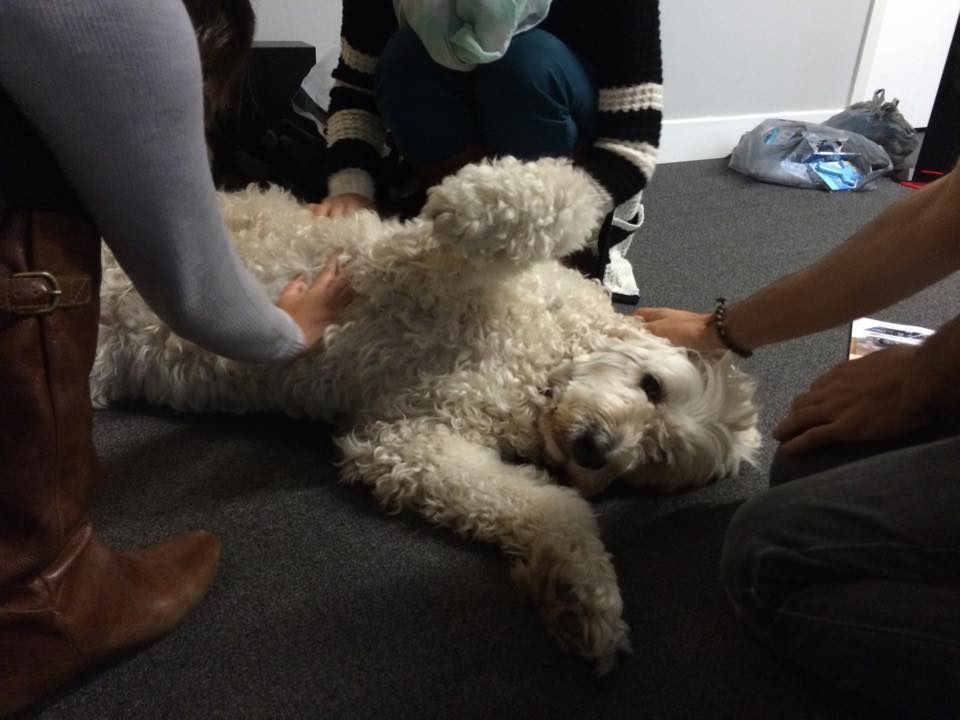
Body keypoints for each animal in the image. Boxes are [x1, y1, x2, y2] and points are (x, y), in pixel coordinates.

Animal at [92, 157, 760, 672]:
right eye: (652, 387)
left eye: (656, 458)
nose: (596, 449)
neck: (530, 365)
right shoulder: (418, 264)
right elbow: (563, 195)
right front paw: (468, 203)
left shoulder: (407, 440)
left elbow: (552, 507)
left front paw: (580, 596)